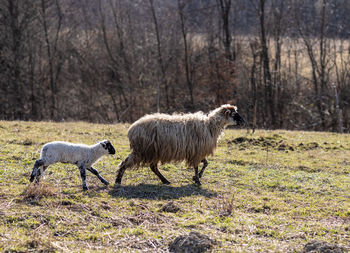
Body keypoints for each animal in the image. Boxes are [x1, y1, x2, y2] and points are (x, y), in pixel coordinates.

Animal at [114, 104, 243, 186]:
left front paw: (196, 177)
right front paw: (197, 180)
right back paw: (118, 181)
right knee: (127, 163)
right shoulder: (197, 151)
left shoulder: (196, 151)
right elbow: (197, 166)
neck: (210, 126)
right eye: (234, 114)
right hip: (143, 150)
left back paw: (165, 181)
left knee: (152, 167)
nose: (243, 121)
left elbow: (206, 163)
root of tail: (132, 129)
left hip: (152, 151)